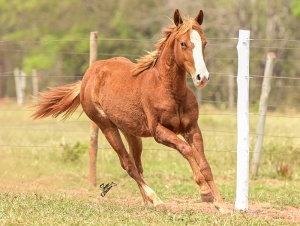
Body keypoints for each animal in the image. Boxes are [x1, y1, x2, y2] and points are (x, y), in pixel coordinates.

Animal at [31, 9, 226, 212]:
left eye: (204, 42)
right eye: (183, 43)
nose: (202, 77)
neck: (169, 90)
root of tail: (87, 77)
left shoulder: (192, 128)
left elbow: (205, 164)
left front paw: (220, 204)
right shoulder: (159, 132)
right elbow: (186, 150)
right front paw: (205, 192)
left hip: (131, 131)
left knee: (137, 164)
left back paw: (147, 202)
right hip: (106, 126)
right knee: (128, 164)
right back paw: (155, 199)